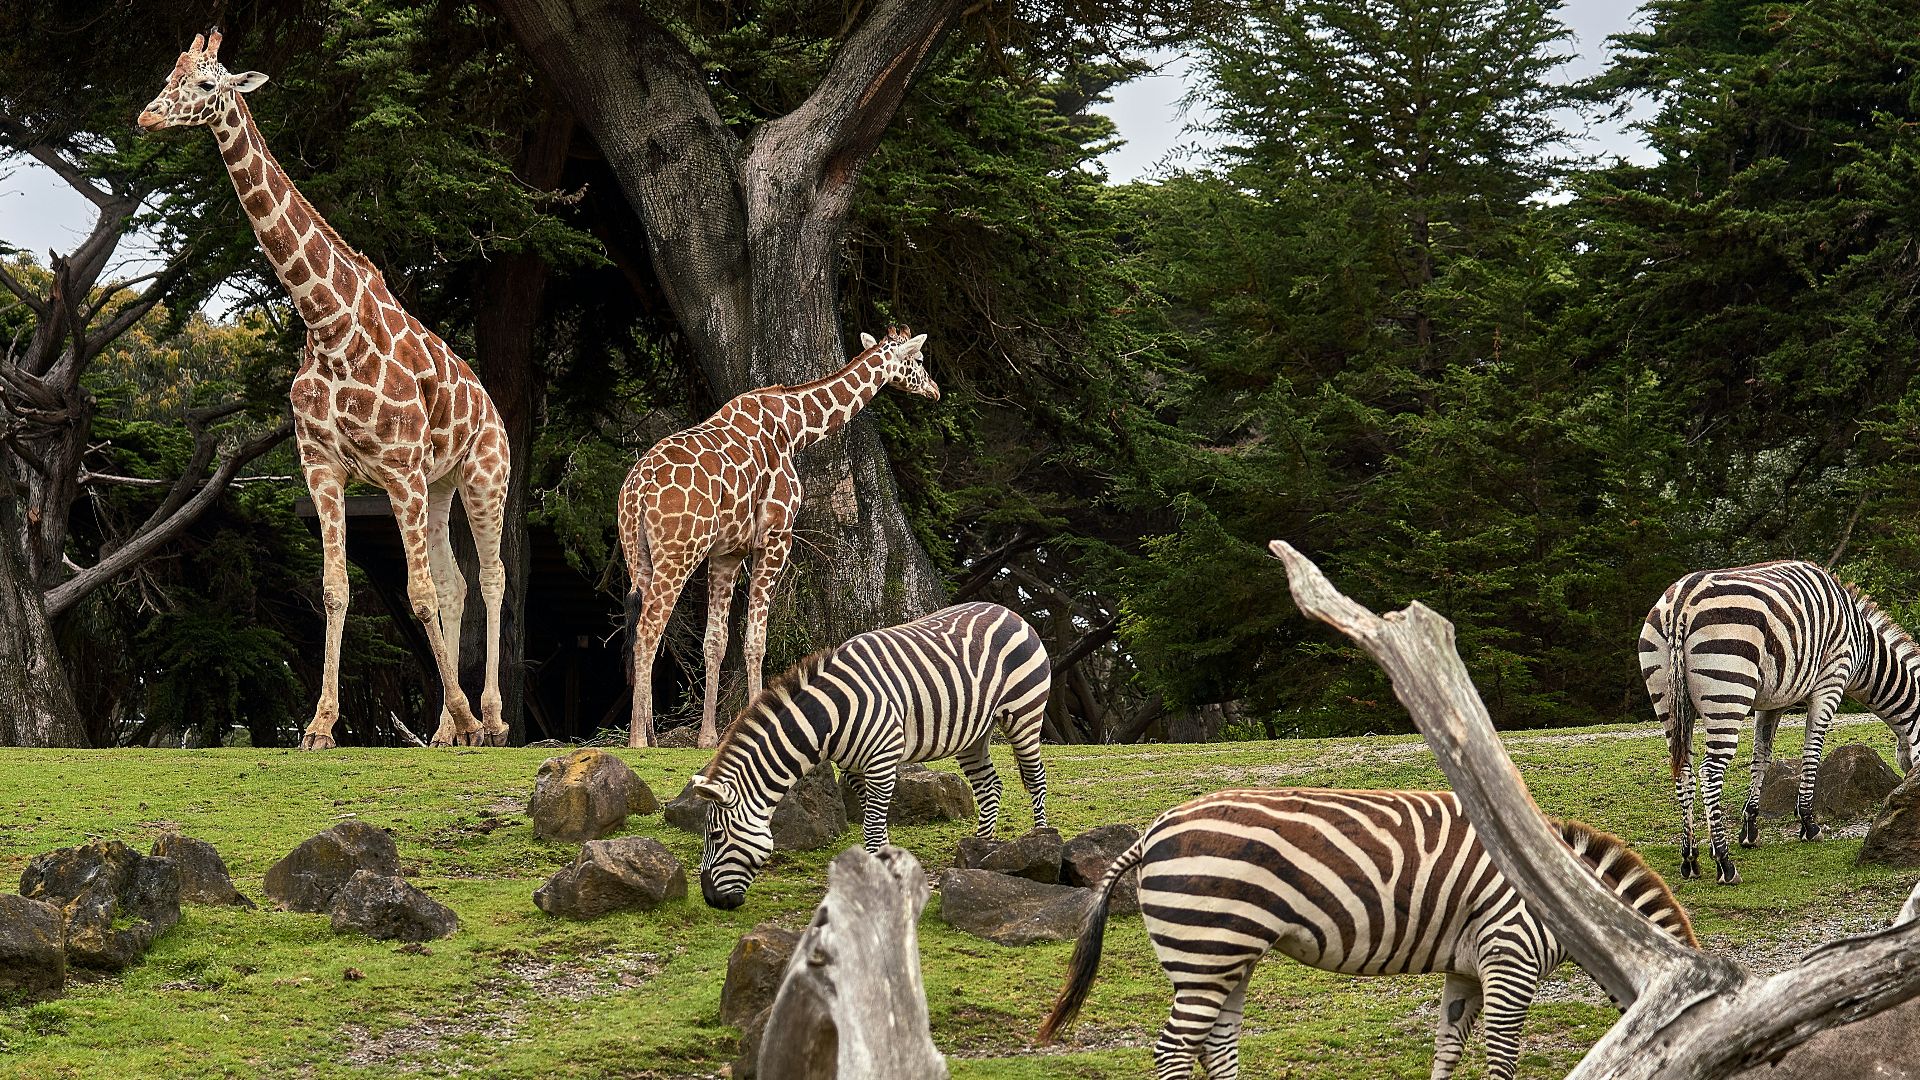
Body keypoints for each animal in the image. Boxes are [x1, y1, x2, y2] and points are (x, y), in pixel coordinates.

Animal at [138, 32, 511, 749]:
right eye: (170, 73)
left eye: (206, 85)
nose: (146, 116)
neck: (328, 322)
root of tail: (491, 405)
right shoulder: (323, 465)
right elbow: (338, 588)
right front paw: (319, 725)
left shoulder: (398, 469)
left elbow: (418, 593)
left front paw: (459, 713)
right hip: (441, 483)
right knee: (456, 582)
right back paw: (451, 730)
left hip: (484, 474)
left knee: (491, 576)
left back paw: (492, 718)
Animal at [620, 327, 938, 749]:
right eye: (917, 360)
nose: (935, 390)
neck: (795, 428)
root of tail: (636, 491)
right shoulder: (775, 538)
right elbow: (756, 640)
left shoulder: (727, 552)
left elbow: (716, 641)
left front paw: (708, 737)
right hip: (679, 553)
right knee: (648, 629)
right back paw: (637, 740)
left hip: (638, 554)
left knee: (644, 627)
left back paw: (651, 735)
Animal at [687, 600, 1051, 909]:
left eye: (715, 836)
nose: (711, 900)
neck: (830, 716)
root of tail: (1007, 610)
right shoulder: (853, 769)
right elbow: (873, 822)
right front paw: (885, 868)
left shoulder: (881, 762)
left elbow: (872, 829)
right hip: (973, 732)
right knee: (989, 786)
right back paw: (979, 851)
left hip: (1025, 712)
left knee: (1035, 778)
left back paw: (1039, 843)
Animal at [1036, 787, 1696, 1080]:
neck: (1571, 902)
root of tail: (1151, 831)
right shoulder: (1511, 956)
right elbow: (1502, 1056)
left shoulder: (1467, 966)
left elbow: (1448, 1045)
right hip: (1206, 950)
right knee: (1175, 1048)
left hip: (1228, 958)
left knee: (1214, 1045)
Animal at [1639, 560, 1920, 885]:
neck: (1863, 646)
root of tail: (1680, 605)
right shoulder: (1830, 683)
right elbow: (1812, 753)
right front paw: (1809, 825)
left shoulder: (1772, 701)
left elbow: (1761, 758)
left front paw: (1749, 829)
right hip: (1728, 692)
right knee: (1709, 773)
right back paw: (1725, 864)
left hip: (1667, 700)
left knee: (1684, 771)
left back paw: (1690, 859)